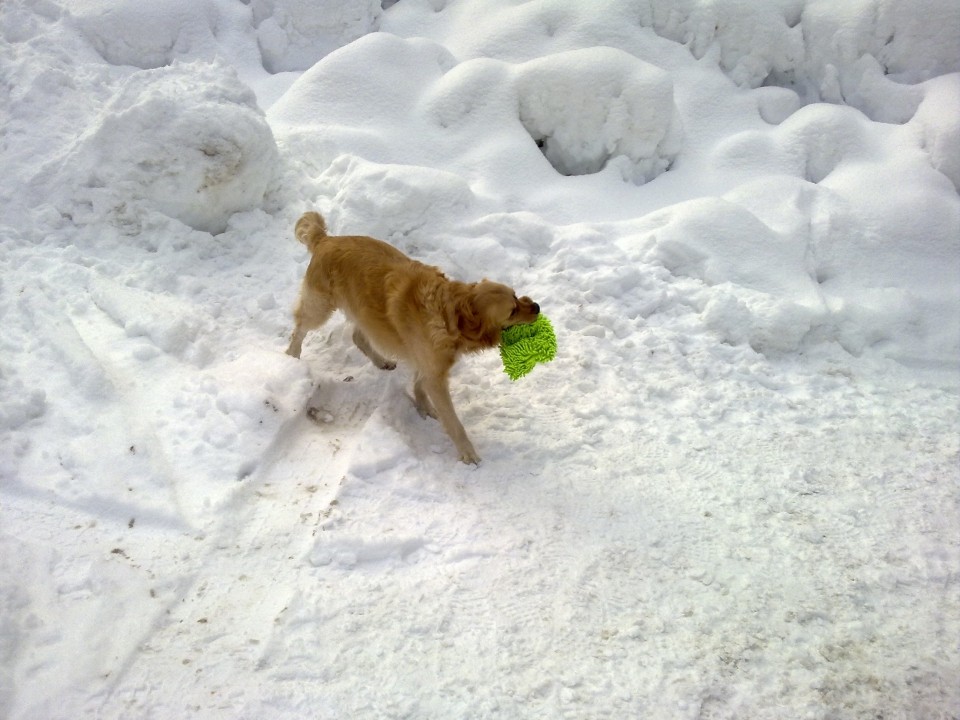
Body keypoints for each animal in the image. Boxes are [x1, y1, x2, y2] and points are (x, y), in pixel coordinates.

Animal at [284, 211, 540, 464]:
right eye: (512, 311)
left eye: (516, 295)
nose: (537, 307)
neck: (450, 315)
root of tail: (326, 239)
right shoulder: (434, 374)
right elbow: (453, 422)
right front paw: (467, 452)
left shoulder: (427, 362)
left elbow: (419, 383)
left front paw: (423, 407)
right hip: (319, 308)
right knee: (300, 329)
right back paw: (291, 357)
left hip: (365, 315)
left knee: (358, 336)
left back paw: (381, 361)